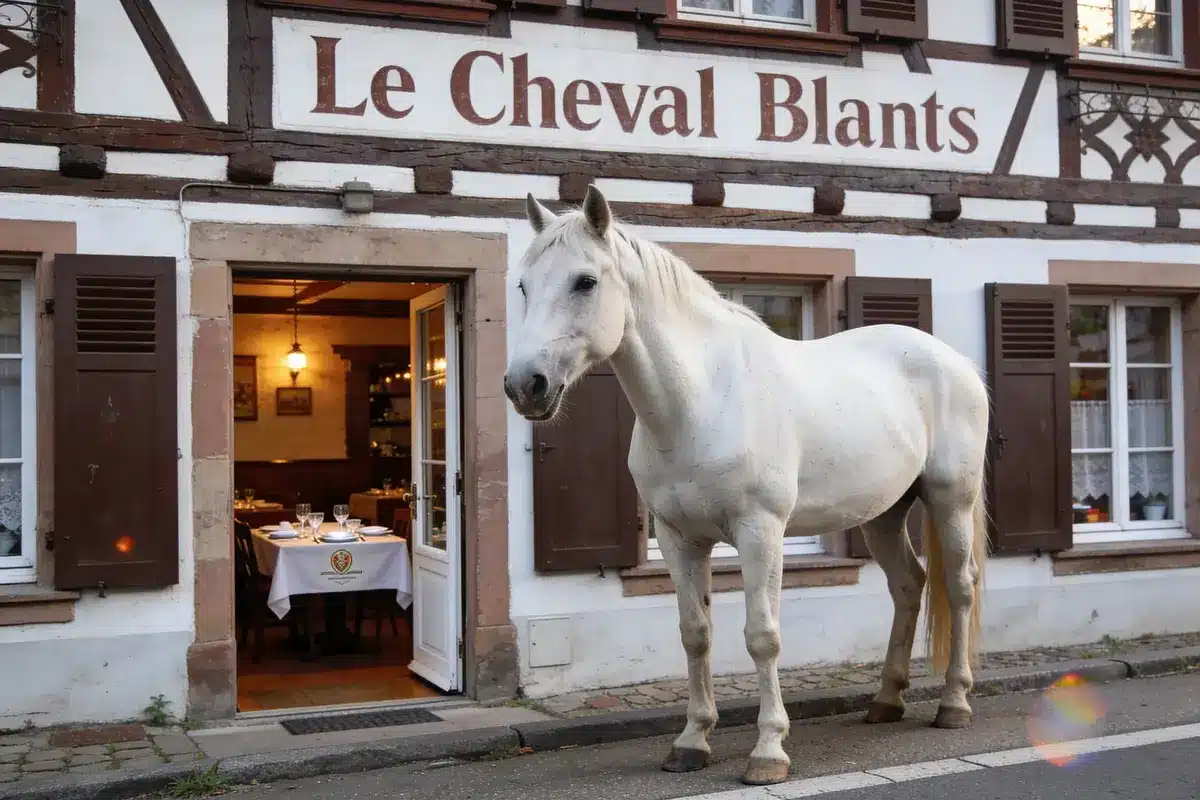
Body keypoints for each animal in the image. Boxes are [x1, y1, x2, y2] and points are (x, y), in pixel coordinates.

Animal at [503, 185, 990, 787]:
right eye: (524, 285)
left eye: (585, 281)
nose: (525, 385)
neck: (701, 400)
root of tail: (955, 361)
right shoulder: (679, 539)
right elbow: (695, 633)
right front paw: (692, 741)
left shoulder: (761, 532)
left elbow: (762, 635)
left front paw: (769, 750)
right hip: (882, 514)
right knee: (908, 585)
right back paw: (885, 700)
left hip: (951, 500)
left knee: (960, 588)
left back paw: (954, 703)